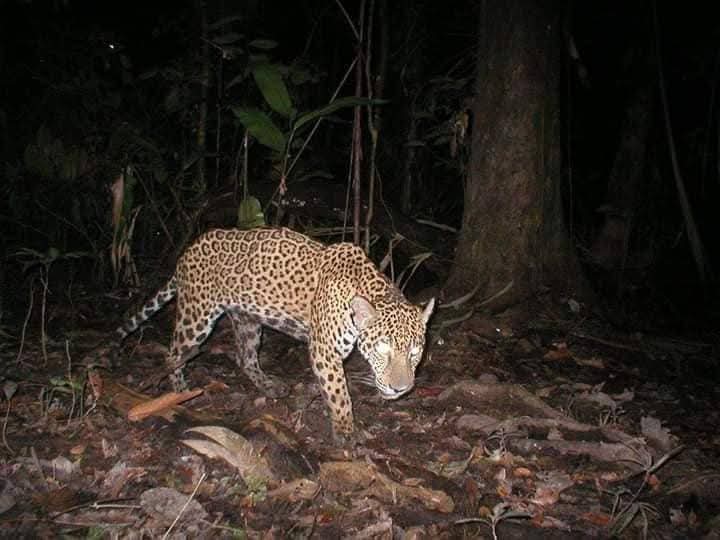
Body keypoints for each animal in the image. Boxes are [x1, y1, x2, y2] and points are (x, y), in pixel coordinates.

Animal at [116, 227, 435, 441]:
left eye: (415, 352)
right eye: (383, 349)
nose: (401, 389)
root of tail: (188, 250)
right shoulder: (325, 352)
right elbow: (339, 393)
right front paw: (345, 430)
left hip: (247, 322)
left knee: (245, 358)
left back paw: (269, 387)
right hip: (196, 315)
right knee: (174, 353)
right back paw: (180, 392)